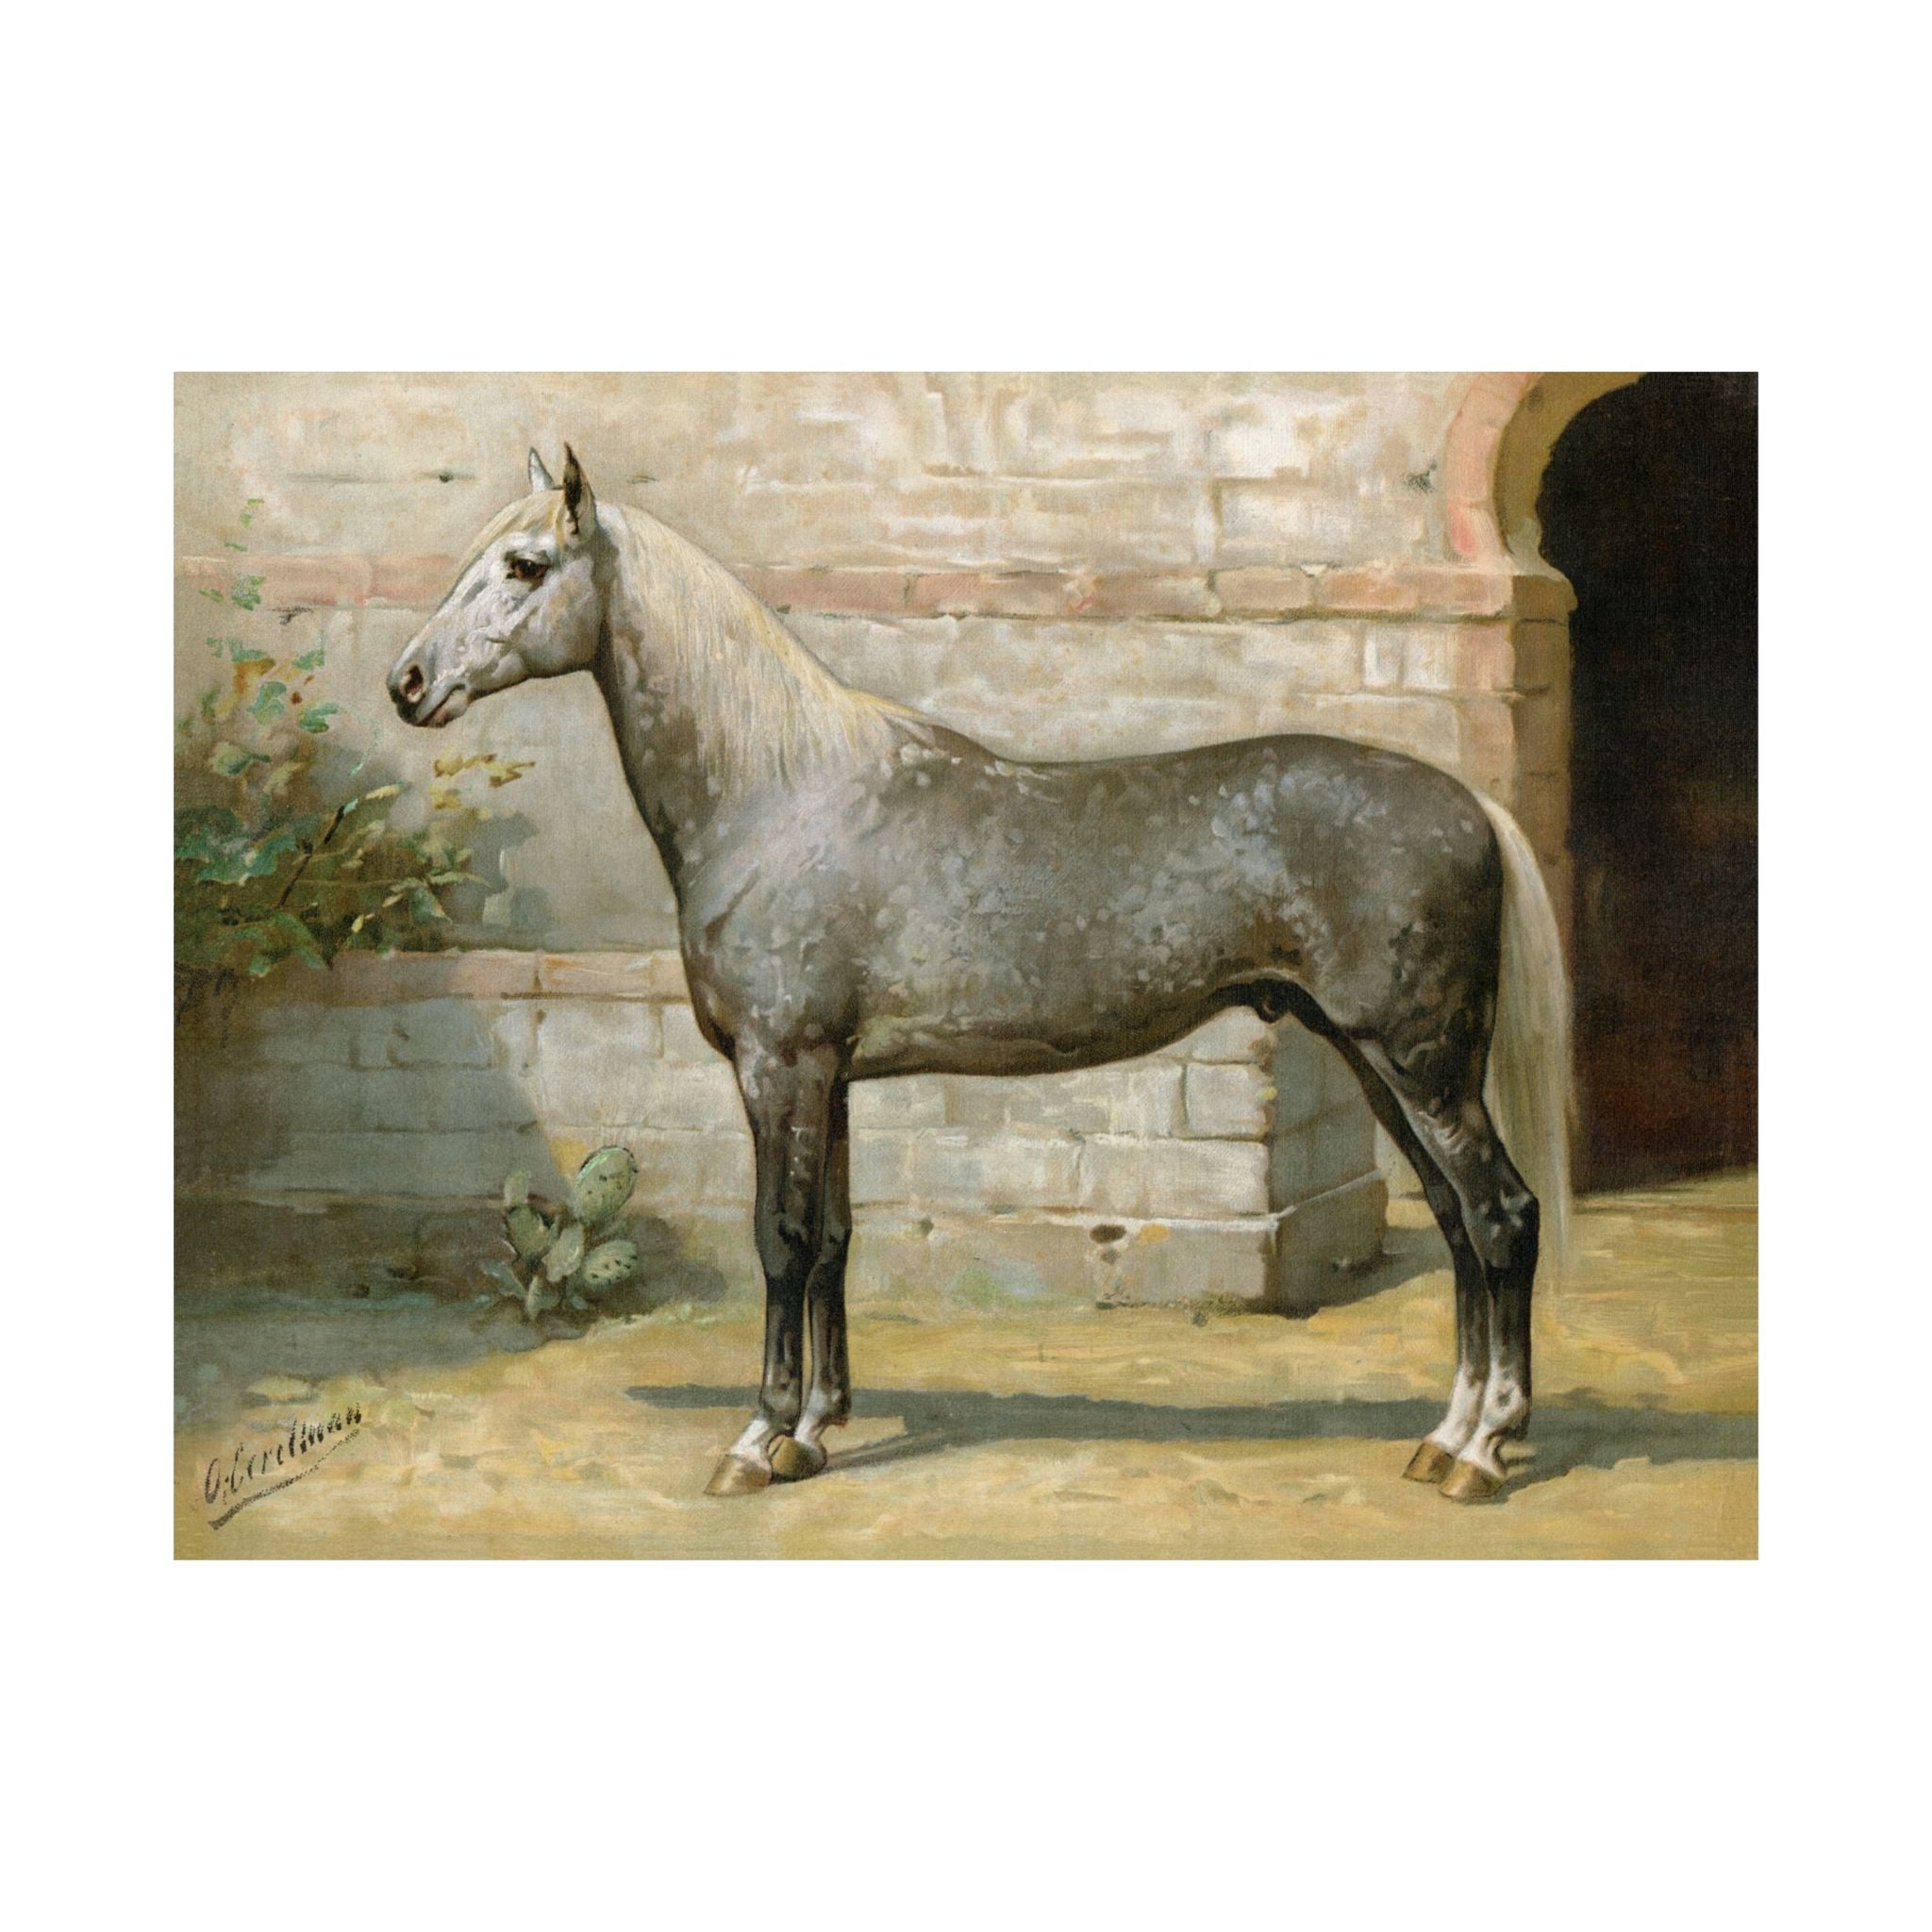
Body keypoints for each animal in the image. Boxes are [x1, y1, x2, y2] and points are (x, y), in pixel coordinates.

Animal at [388, 446, 1573, 1504]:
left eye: (527, 564)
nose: (406, 683)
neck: (779, 795)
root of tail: (1467, 800)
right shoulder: (829, 1077)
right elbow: (833, 1239)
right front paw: (815, 1430)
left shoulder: (779, 1065)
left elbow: (778, 1239)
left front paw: (757, 1438)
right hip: (1379, 1062)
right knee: (1456, 1223)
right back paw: (1444, 1434)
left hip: (1418, 1064)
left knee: (1502, 1216)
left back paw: (1482, 1450)